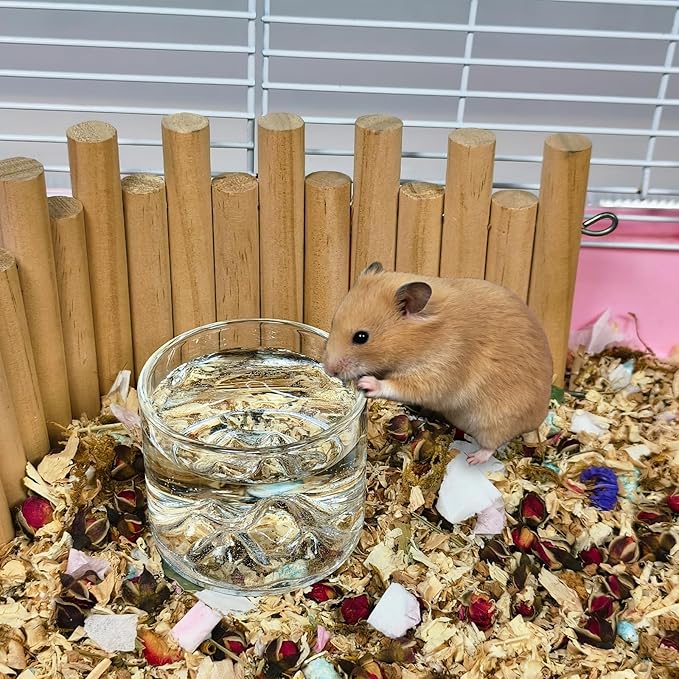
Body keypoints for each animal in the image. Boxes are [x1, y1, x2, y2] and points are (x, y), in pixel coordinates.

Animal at [323, 261, 553, 465]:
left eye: (361, 337)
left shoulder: (438, 370)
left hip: (495, 421)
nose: (329, 370)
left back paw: (473, 459)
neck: (424, 338)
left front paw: (366, 383)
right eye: (333, 322)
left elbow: (400, 386)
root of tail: (539, 417)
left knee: (492, 444)